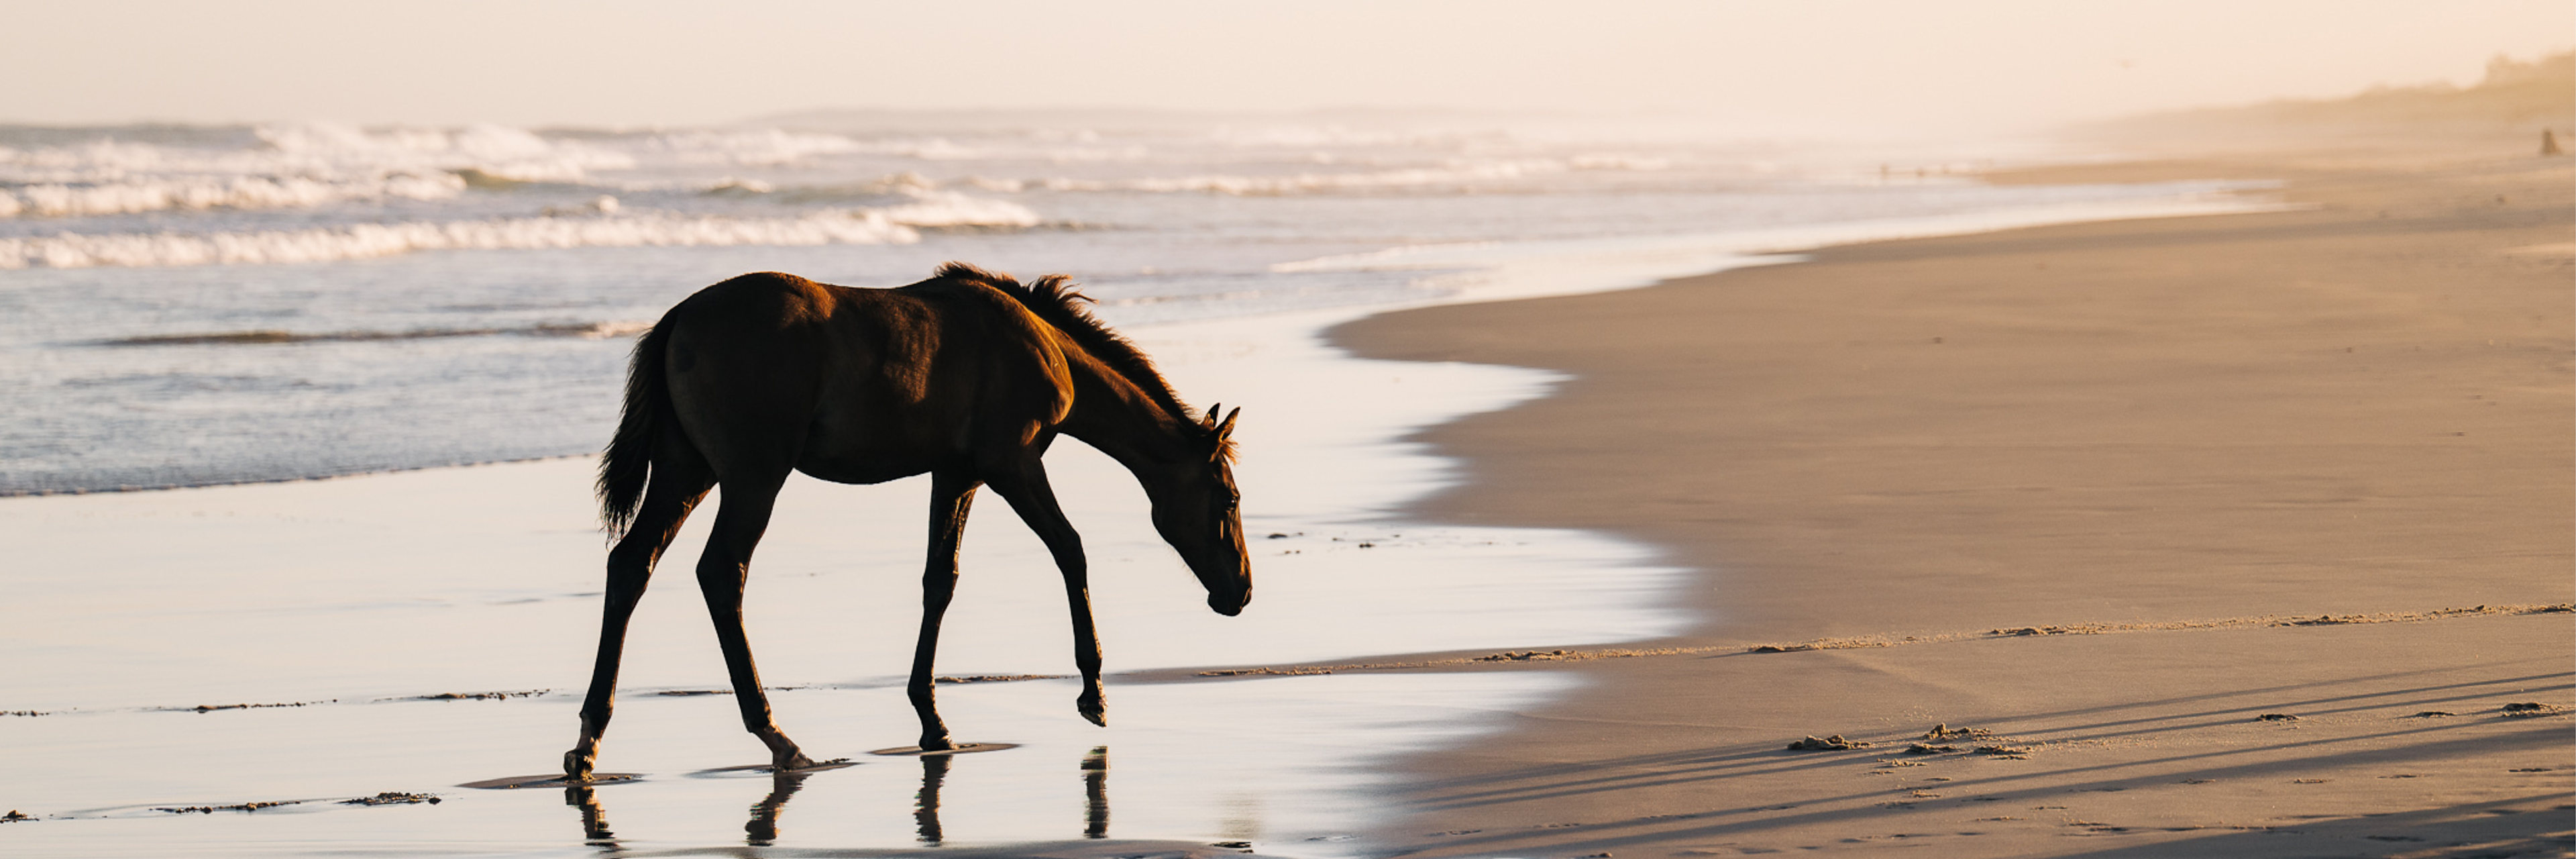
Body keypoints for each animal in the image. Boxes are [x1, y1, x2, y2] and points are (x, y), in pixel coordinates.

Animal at [564, 263, 1251, 778]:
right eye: (1229, 500)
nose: (1240, 592)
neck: (1042, 346)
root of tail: (679, 318)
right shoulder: (1013, 463)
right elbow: (1070, 549)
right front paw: (1094, 693)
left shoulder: (956, 474)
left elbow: (938, 581)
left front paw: (933, 722)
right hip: (752, 478)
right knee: (721, 572)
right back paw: (776, 736)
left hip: (687, 471)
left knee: (632, 565)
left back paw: (589, 740)